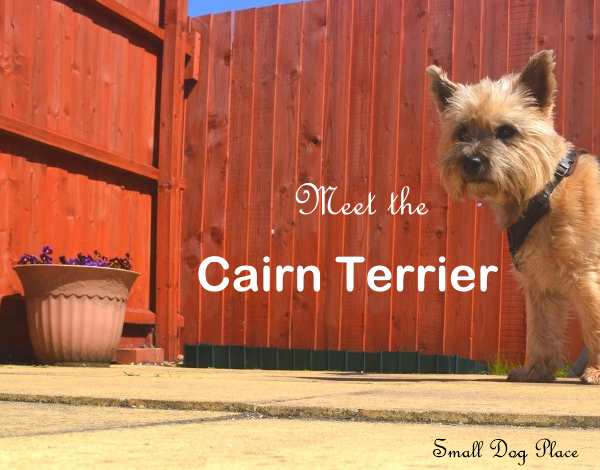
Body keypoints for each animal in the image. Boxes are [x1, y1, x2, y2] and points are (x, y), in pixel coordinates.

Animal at [426, 49, 600, 384]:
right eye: (461, 132)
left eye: (507, 131)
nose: (472, 161)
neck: (545, 189)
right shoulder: (540, 284)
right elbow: (541, 330)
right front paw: (537, 370)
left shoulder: (587, 275)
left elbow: (595, 325)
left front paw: (596, 371)